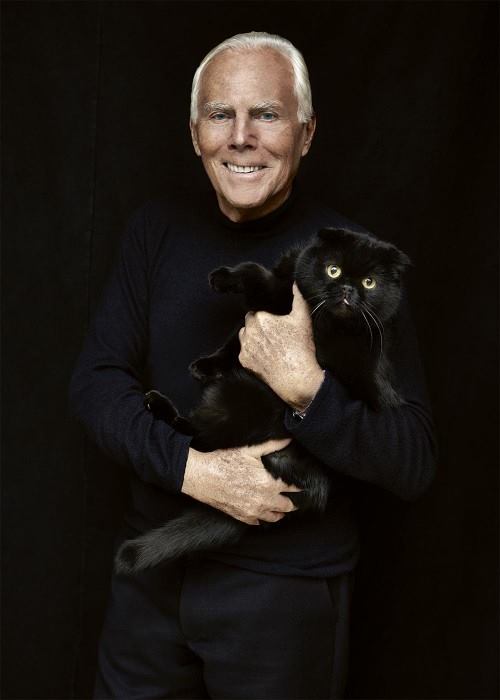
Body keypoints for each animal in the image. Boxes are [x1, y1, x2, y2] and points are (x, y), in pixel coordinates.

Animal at [114, 230, 410, 576]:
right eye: (333, 270)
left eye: (369, 282)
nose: (349, 289)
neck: (323, 318)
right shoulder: (281, 292)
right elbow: (243, 317)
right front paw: (207, 361)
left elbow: (255, 275)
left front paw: (223, 278)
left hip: (240, 405)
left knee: (199, 439)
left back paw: (159, 405)